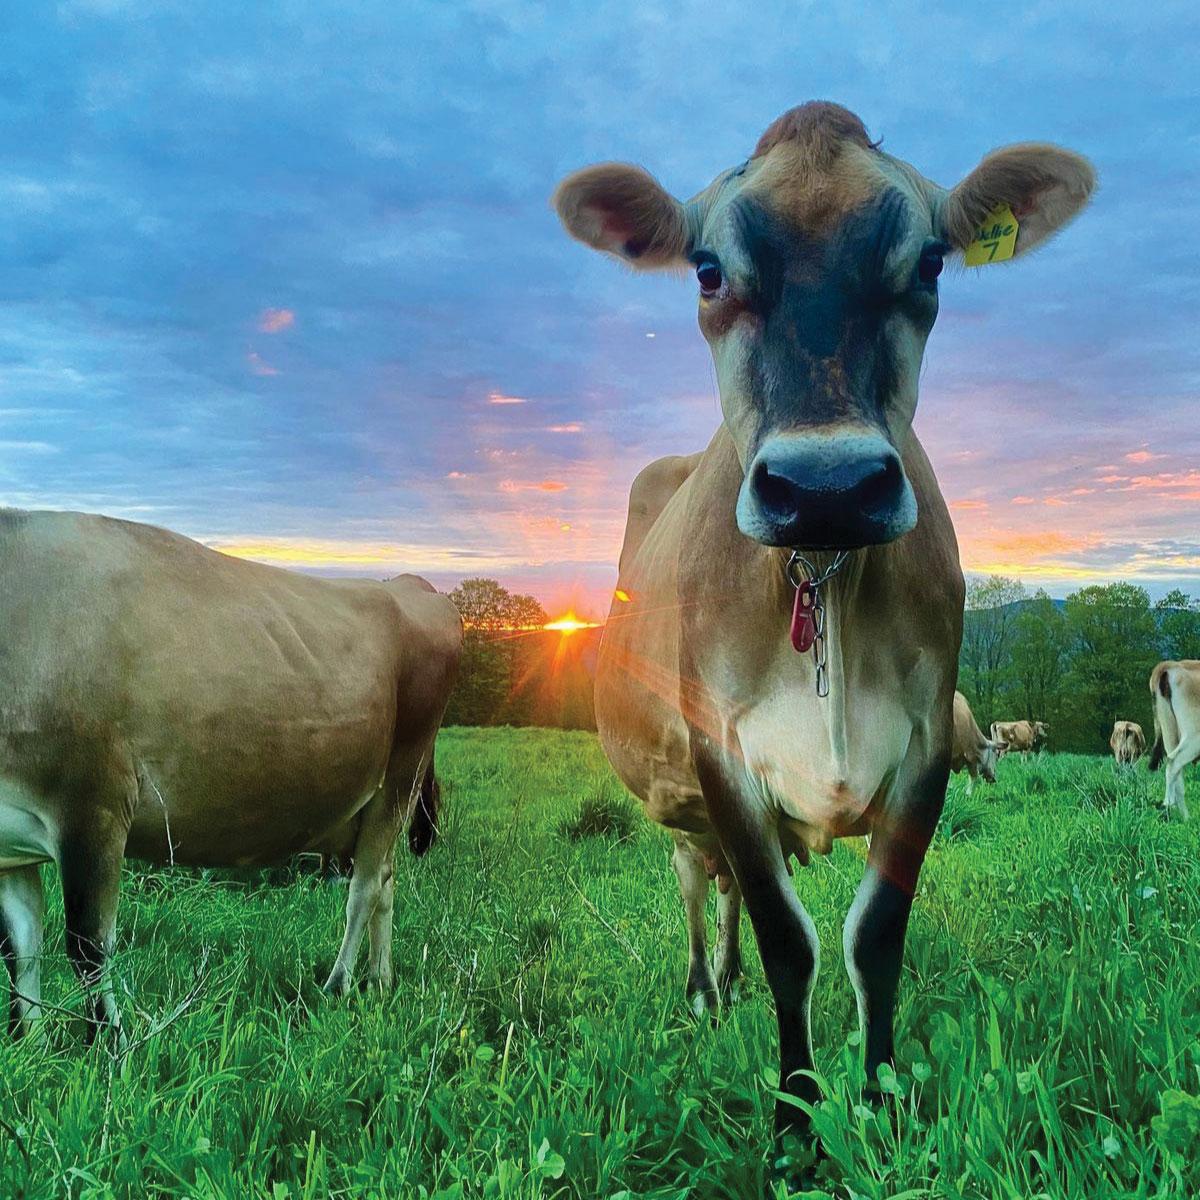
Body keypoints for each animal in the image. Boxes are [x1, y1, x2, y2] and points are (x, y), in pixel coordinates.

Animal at [0, 504, 458, 1032]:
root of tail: (407, 585)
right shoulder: (11, 841)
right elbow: (20, 952)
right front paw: (30, 1041)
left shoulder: (93, 806)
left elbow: (87, 948)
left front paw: (111, 1043)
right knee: (385, 878)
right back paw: (378, 981)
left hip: (402, 772)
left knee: (364, 888)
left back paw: (338, 985)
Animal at [554, 98, 1099, 1176]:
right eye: (707, 270)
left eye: (929, 262)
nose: (827, 486)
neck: (824, 582)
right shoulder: (721, 753)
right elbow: (786, 942)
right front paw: (796, 1126)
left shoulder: (927, 743)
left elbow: (873, 936)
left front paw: (881, 1105)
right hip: (677, 791)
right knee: (700, 880)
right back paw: (705, 989)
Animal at [1142, 662, 1200, 820]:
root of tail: (1170, 665)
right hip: (1193, 735)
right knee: (1174, 762)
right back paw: (1168, 804)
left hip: (1169, 731)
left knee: (1176, 770)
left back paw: (1186, 819)